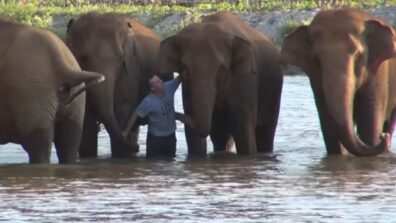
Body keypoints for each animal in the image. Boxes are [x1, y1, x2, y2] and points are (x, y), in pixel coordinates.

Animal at [65, 12, 160, 158]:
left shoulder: (131, 68)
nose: (137, 148)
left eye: (121, 59)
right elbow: (87, 120)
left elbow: (123, 110)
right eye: (83, 57)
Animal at [158, 11, 282, 156]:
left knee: (265, 133)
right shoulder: (187, 88)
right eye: (185, 71)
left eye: (221, 69)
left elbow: (244, 131)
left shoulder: (245, 80)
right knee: (220, 136)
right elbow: (194, 138)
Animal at [282, 8, 396, 157]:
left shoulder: (379, 72)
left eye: (357, 55)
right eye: (317, 59)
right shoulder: (316, 81)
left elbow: (370, 112)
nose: (383, 137)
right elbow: (327, 117)